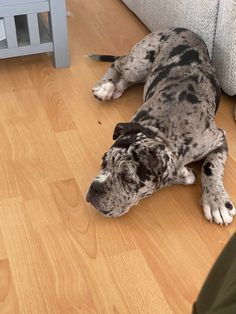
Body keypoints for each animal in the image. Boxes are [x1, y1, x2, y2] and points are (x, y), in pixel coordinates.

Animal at [85, 25, 235, 224]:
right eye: (103, 161)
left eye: (128, 179)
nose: (95, 187)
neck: (164, 132)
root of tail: (177, 27)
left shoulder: (218, 139)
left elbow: (211, 166)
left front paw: (216, 201)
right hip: (138, 63)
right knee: (119, 62)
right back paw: (106, 87)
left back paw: (114, 88)